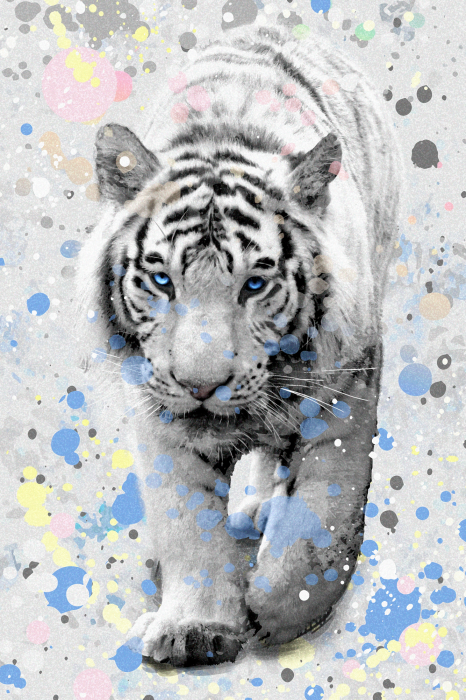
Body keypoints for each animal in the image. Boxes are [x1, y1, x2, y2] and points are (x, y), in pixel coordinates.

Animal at [77, 25, 401, 667]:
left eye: (254, 284)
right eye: (161, 280)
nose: (201, 385)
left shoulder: (346, 400)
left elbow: (318, 522)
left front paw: (277, 607)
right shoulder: (161, 423)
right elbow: (190, 526)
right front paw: (195, 629)